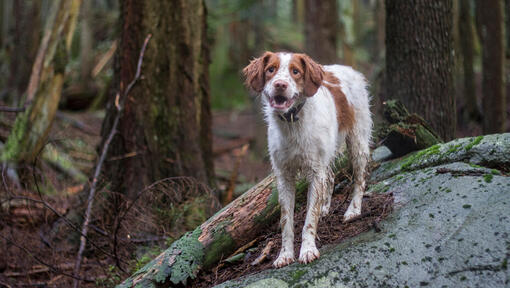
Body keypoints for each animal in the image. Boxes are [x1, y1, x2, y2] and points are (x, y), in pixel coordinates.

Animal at [242, 51, 370, 268]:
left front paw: (308, 250)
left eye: (295, 71)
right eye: (271, 69)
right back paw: (325, 207)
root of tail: (348, 68)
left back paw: (353, 210)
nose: (280, 85)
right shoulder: (284, 175)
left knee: (359, 178)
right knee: (330, 176)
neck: (292, 121)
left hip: (357, 142)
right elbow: (286, 220)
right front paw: (284, 255)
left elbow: (309, 217)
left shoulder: (315, 171)